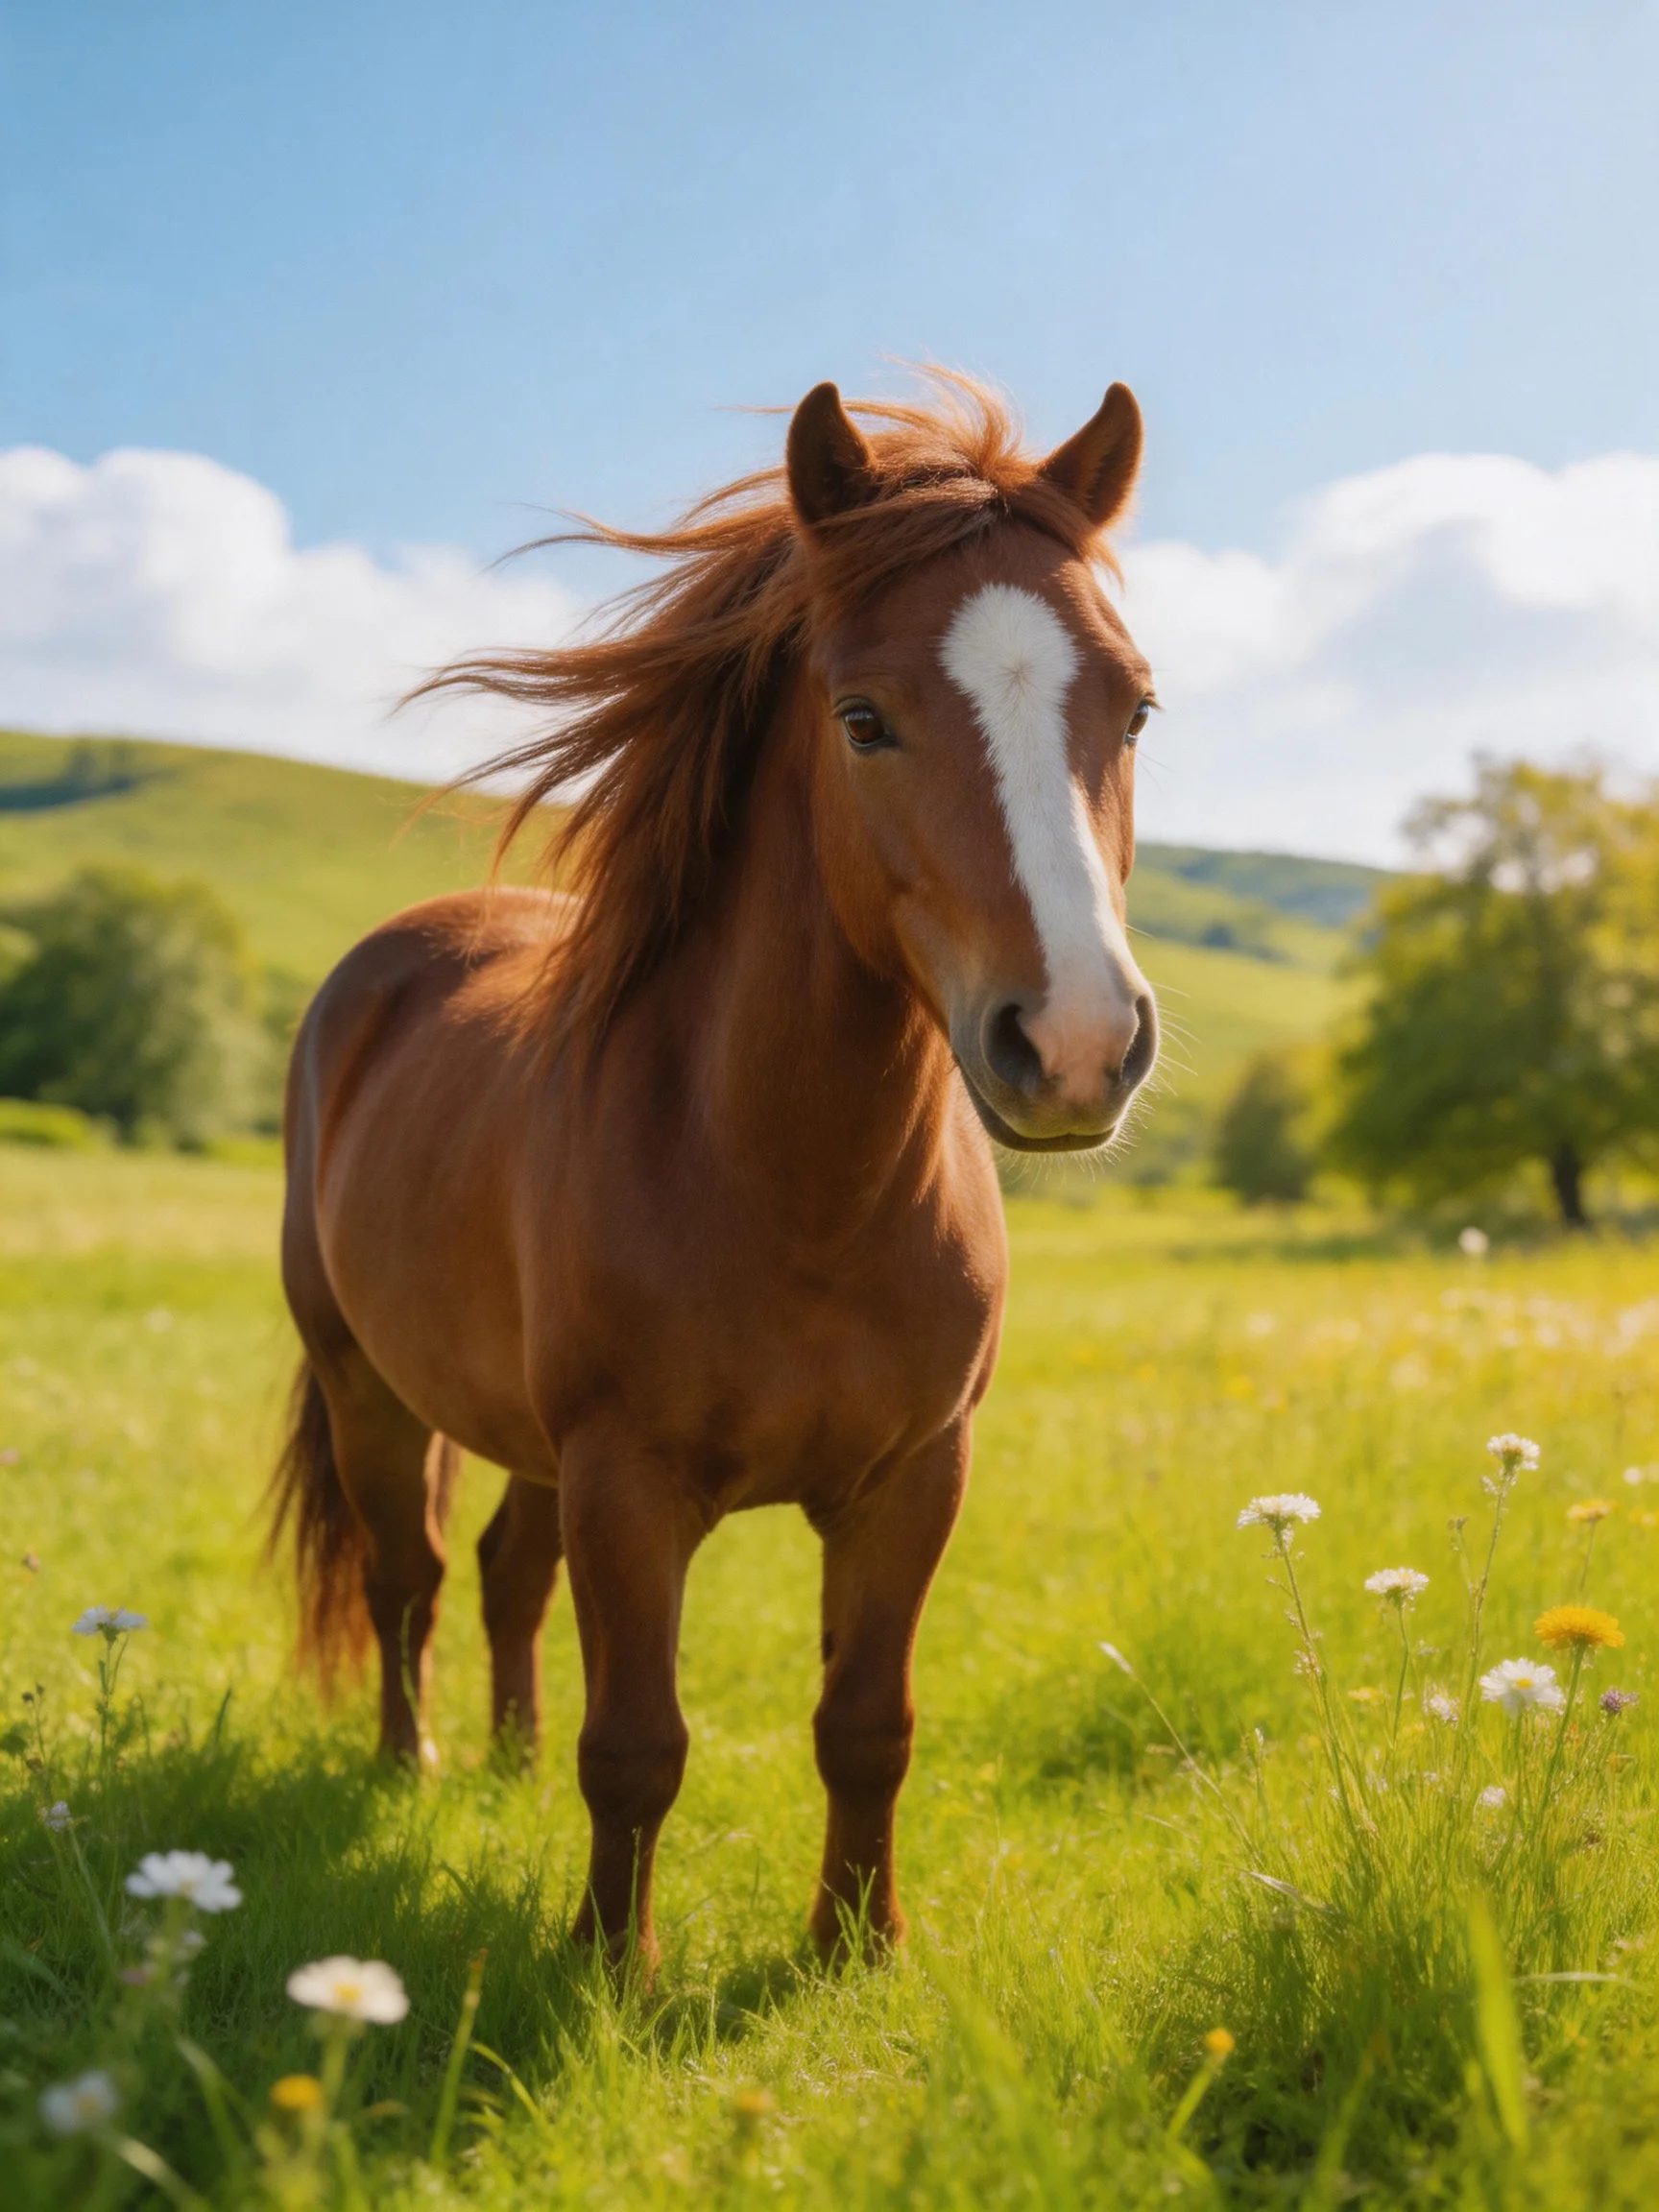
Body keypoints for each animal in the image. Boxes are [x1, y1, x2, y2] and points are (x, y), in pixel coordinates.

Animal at [270, 372, 1160, 1963]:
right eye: (864, 718)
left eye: (1133, 706)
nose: (1074, 1043)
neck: (793, 1189)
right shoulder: (629, 1484)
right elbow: (637, 1745)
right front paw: (609, 1968)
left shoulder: (914, 1478)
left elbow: (867, 1725)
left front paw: (855, 1946)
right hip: (365, 1382)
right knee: (406, 1578)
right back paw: (410, 1767)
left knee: (502, 1575)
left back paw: (500, 1763)